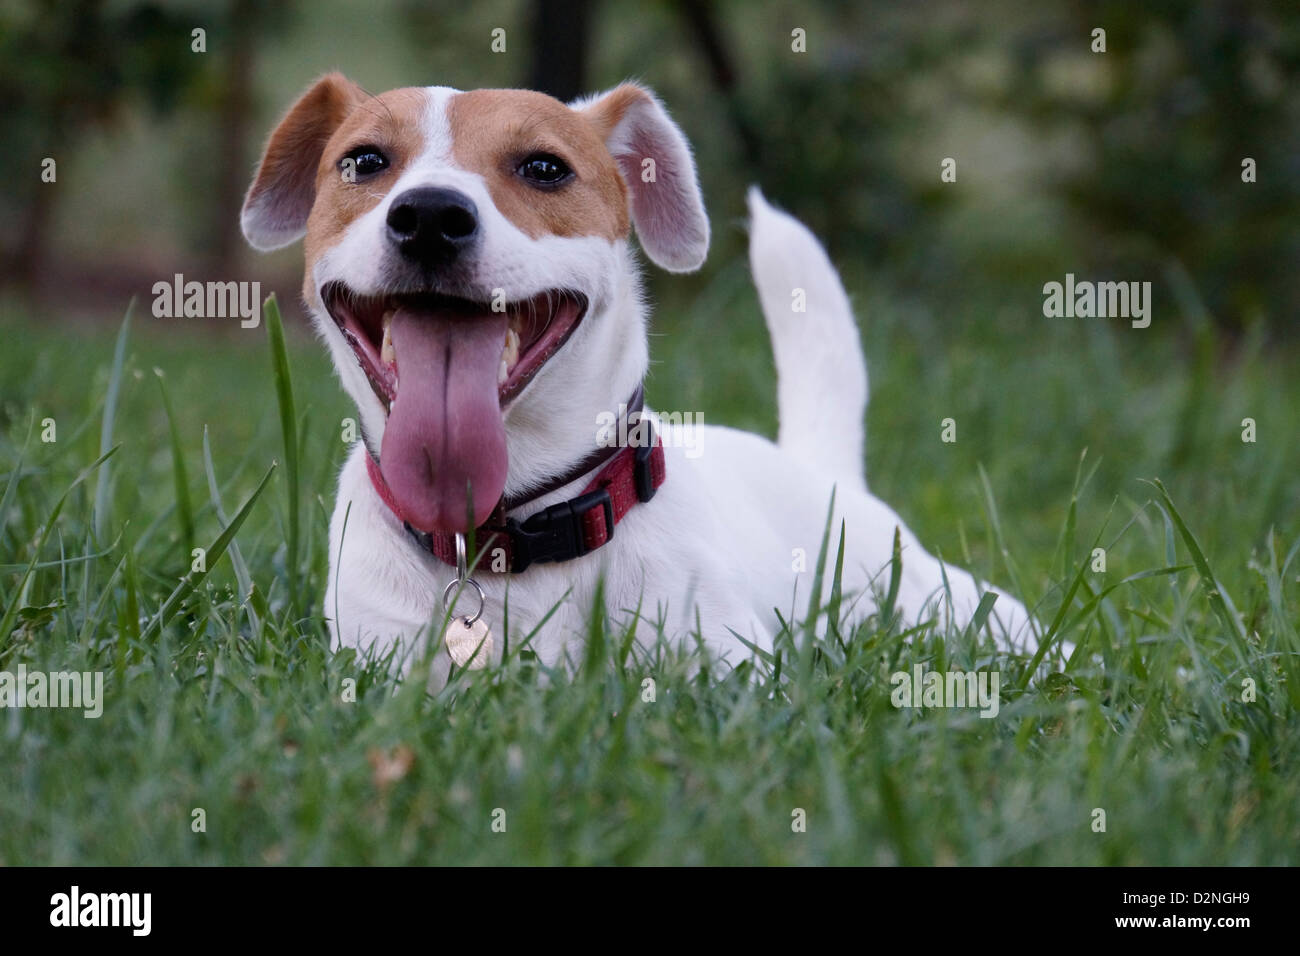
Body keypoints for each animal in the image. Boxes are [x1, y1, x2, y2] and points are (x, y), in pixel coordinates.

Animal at [241, 76, 1034, 686]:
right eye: (364, 161)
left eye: (545, 168)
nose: (430, 215)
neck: (506, 539)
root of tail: (817, 467)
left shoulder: (733, 671)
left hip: (949, 603)